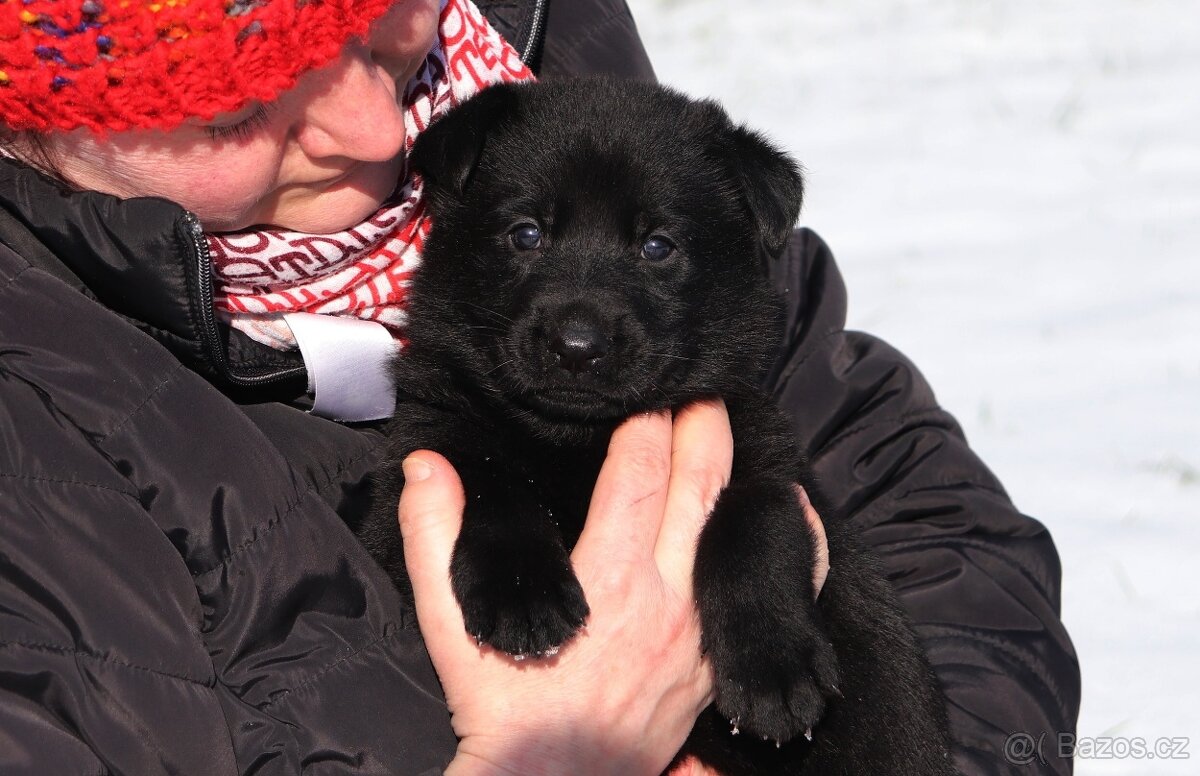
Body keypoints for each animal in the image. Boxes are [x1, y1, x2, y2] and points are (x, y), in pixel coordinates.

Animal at [357, 79, 955, 776]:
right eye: (526, 233)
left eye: (657, 246)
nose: (577, 345)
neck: (578, 439)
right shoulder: (419, 454)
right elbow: (490, 481)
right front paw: (522, 591)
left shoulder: (760, 448)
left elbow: (756, 517)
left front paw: (772, 668)